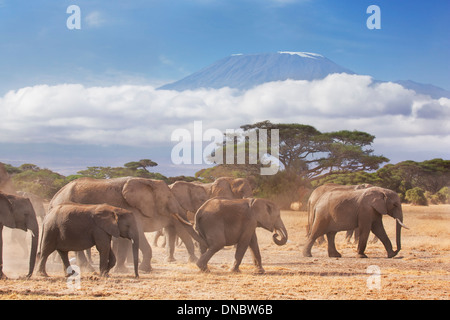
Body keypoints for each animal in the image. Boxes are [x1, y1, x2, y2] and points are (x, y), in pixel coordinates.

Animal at [49, 176, 206, 272]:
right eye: (168, 197)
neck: (148, 181)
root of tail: (54, 198)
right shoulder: (130, 208)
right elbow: (138, 234)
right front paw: (145, 269)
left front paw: (121, 270)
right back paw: (89, 269)